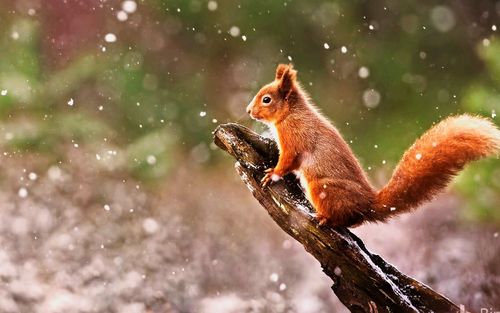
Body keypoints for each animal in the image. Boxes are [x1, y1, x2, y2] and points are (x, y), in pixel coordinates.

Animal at [245, 63, 500, 227]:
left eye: (266, 99)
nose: (248, 111)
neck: (291, 114)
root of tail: (367, 204)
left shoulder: (294, 139)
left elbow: (288, 160)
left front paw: (272, 174)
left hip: (322, 187)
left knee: (345, 219)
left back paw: (326, 219)